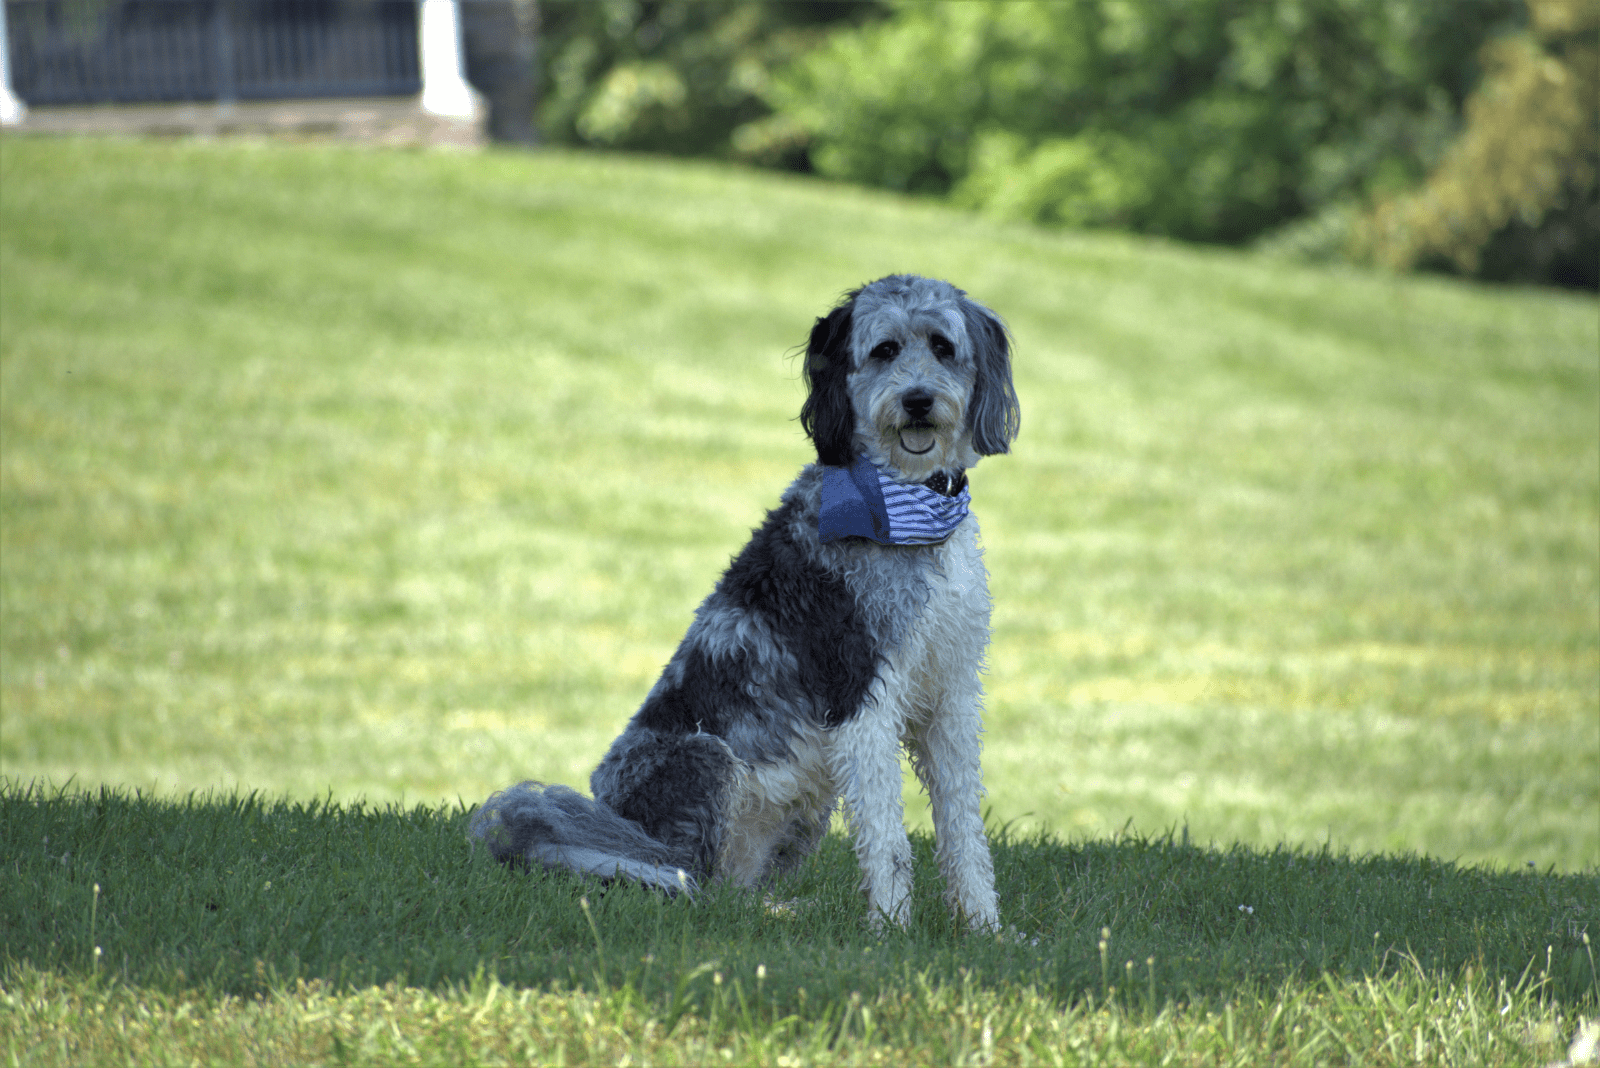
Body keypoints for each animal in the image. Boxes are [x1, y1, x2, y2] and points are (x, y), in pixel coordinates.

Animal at [473, 273, 1017, 927]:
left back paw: (781, 912)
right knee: (686, 881)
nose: (917, 401)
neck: (914, 508)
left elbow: (964, 829)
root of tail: (611, 824)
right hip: (705, 759)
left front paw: (985, 929)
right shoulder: (861, 692)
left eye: (942, 345)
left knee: (735, 893)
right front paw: (891, 929)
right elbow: (887, 837)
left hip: (809, 797)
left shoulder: (950, 693)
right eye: (884, 349)